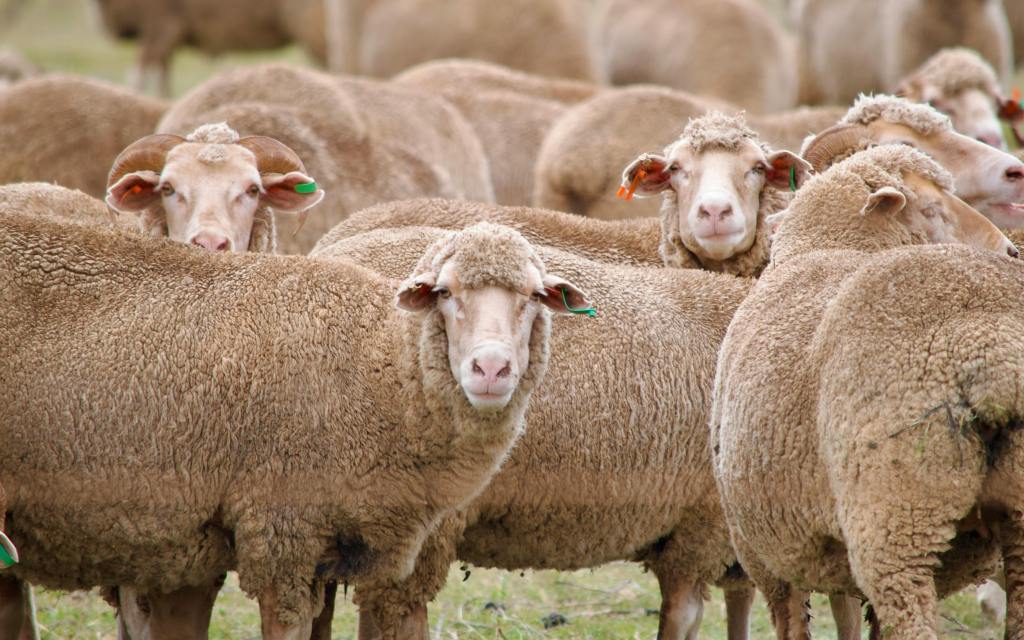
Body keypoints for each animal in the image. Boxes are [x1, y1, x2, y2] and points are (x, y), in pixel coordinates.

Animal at [712, 143, 1021, 640]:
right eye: (932, 209)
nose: (1012, 250)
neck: (828, 247)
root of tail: (989, 356)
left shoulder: (766, 553)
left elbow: (792, 624)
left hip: (896, 519)